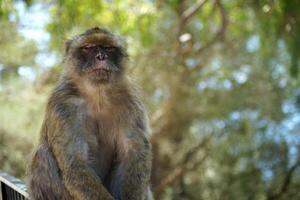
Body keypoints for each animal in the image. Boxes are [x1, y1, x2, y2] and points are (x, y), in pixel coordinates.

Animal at [27, 27, 154, 200]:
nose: (101, 56)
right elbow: (76, 162)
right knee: (41, 154)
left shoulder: (130, 103)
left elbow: (134, 154)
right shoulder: (64, 105)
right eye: (88, 47)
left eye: (108, 48)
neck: (97, 96)